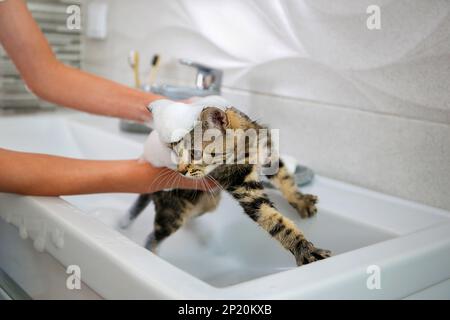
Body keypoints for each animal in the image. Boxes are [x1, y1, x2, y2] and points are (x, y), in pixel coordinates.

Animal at [120, 106, 330, 266]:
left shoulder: (269, 155)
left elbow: (286, 180)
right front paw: (305, 251)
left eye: (194, 152)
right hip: (173, 214)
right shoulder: (243, 187)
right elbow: (277, 223)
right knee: (153, 237)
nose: (180, 171)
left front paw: (301, 201)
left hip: (206, 205)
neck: (248, 147)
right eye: (175, 155)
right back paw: (154, 255)